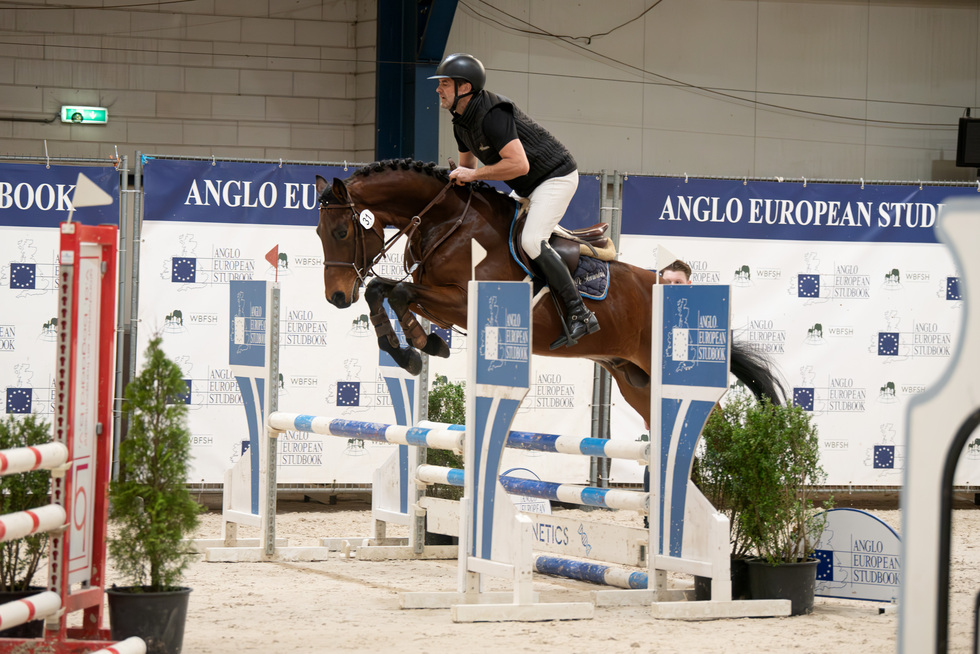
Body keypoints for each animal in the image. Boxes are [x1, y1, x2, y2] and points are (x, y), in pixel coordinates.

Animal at [314, 159, 783, 426]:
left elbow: (395, 292)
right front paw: (416, 348)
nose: (336, 297)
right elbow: (384, 290)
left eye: (341, 232)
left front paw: (418, 346)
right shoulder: (435, 296)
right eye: (319, 232)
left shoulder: (463, 301)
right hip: (637, 381)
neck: (448, 221)